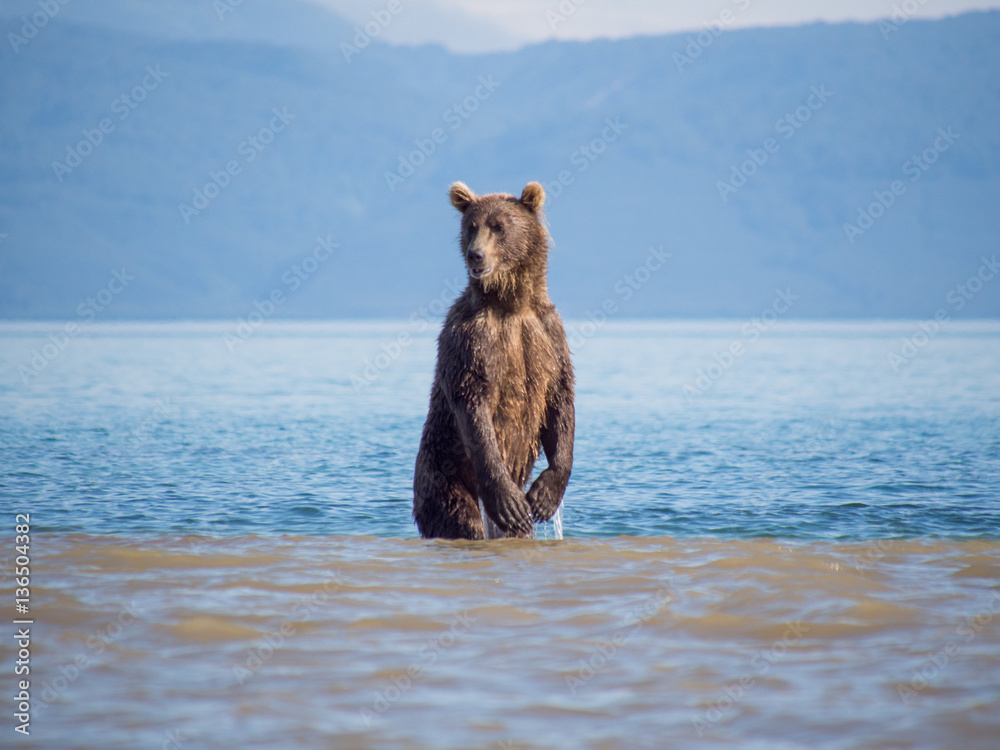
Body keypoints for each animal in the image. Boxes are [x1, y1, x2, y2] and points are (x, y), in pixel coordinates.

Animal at [413, 181, 575, 540]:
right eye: (471, 226)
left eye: (498, 226)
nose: (476, 254)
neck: (511, 305)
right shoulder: (470, 339)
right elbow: (472, 402)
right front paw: (509, 502)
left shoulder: (550, 335)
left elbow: (560, 401)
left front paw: (546, 494)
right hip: (442, 470)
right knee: (460, 518)